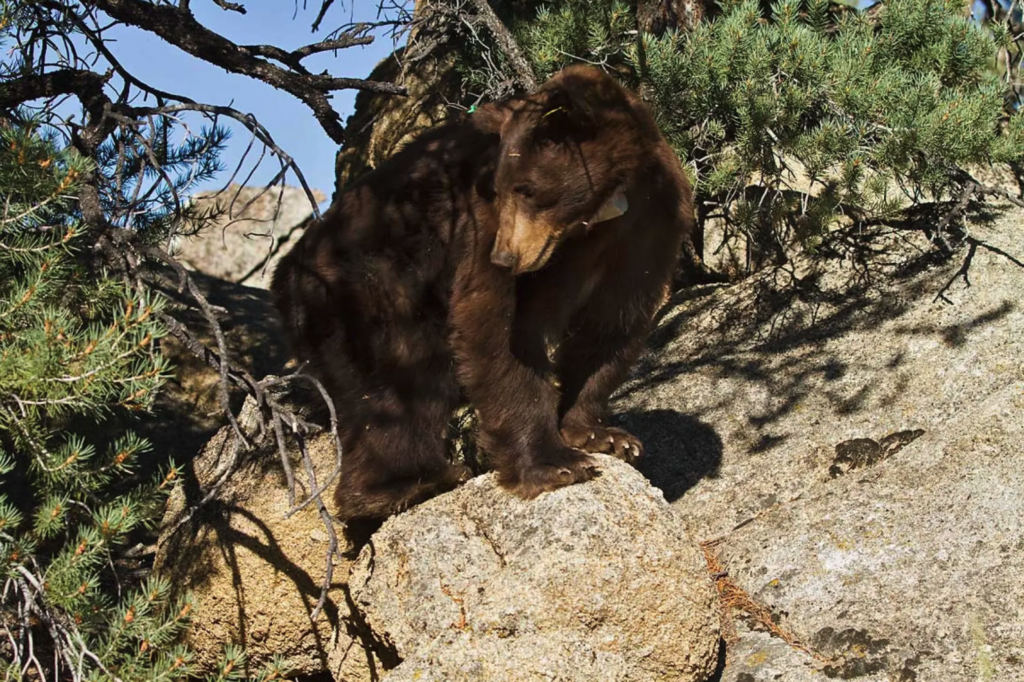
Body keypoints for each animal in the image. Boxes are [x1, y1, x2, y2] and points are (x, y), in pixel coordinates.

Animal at [270, 64, 695, 523]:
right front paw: (555, 463)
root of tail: (284, 278)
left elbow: (613, 323)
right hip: (367, 287)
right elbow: (497, 329)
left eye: (527, 188)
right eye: (500, 189)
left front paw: (601, 433)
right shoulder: (480, 225)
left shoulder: (650, 220)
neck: (594, 218)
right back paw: (406, 484)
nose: (505, 257)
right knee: (403, 381)